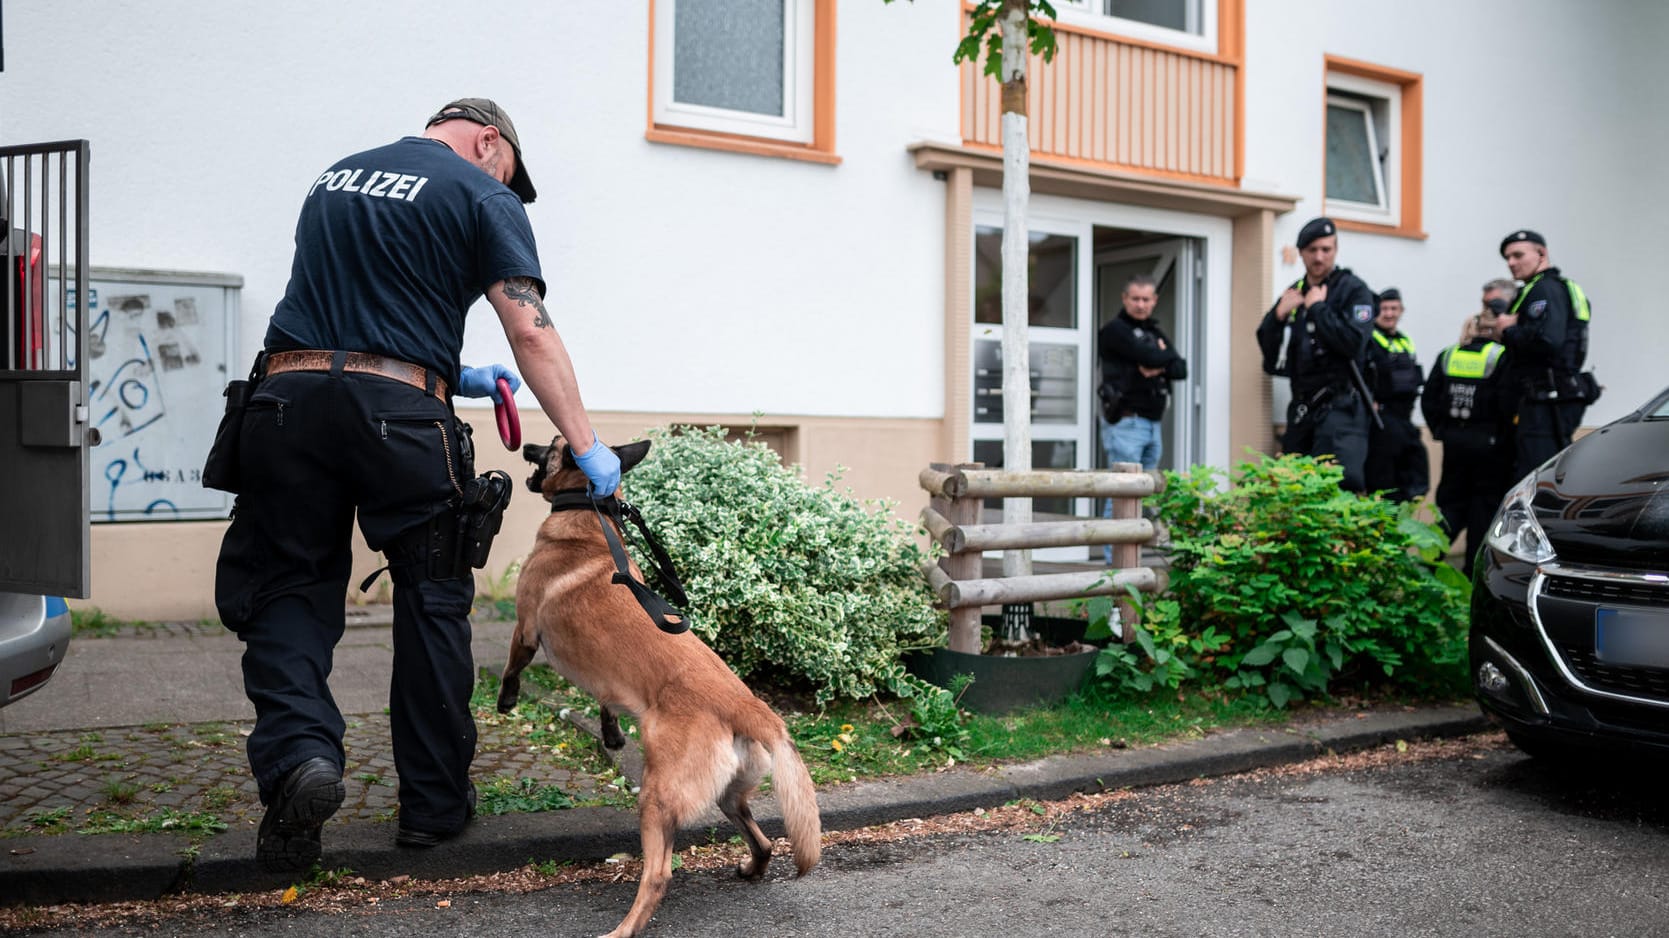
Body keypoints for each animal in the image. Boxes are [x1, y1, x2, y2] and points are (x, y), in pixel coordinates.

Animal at [494, 437, 821, 934]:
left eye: (550, 446)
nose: (526, 443)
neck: (589, 522)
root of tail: (749, 707)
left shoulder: (526, 629)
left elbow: (513, 666)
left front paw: (506, 699)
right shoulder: (606, 679)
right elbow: (605, 701)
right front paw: (611, 734)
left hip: (657, 798)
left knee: (659, 875)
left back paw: (624, 928)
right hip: (727, 795)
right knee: (764, 841)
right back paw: (751, 869)